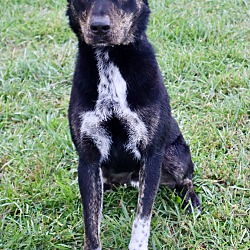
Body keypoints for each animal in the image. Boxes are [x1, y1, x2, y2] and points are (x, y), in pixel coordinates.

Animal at [66, 0, 201, 249]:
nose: (99, 27)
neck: (109, 59)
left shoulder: (152, 152)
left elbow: (142, 218)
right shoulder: (88, 158)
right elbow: (91, 224)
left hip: (174, 154)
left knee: (185, 179)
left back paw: (192, 201)